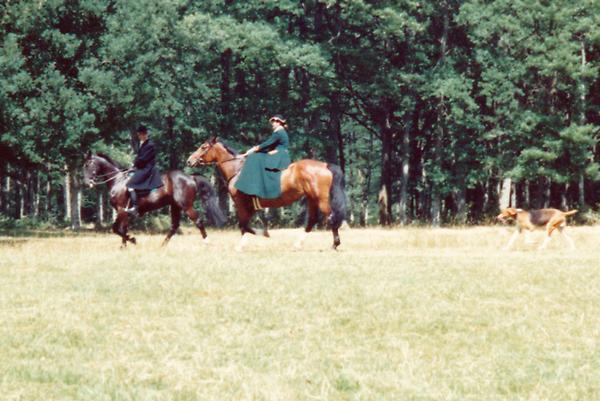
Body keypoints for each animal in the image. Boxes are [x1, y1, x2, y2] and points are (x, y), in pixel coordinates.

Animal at [83, 152, 226, 248]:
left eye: (88, 164)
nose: (86, 183)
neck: (118, 181)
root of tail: (190, 177)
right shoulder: (125, 213)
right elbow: (122, 229)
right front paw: (124, 246)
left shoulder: (121, 210)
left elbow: (116, 229)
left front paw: (132, 240)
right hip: (175, 206)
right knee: (174, 226)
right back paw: (162, 246)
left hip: (186, 206)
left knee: (198, 221)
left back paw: (207, 242)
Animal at [186, 137, 347, 251]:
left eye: (203, 147)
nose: (189, 160)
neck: (238, 170)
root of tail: (324, 165)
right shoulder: (250, 206)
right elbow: (245, 225)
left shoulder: (240, 203)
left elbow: (243, 225)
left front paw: (250, 240)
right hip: (312, 199)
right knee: (312, 221)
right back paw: (298, 244)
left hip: (321, 199)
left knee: (331, 218)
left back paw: (335, 244)